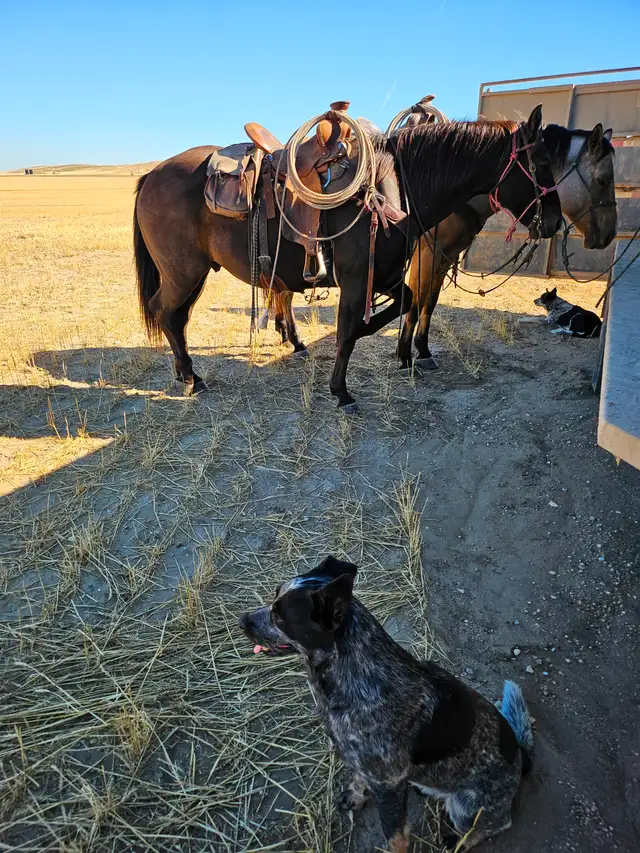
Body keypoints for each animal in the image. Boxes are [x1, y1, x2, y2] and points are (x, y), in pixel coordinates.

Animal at [134, 106, 562, 411]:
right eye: (541, 165)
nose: (555, 222)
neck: (396, 188)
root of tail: (151, 175)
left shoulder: (388, 274)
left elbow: (404, 304)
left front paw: (390, 346)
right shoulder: (358, 279)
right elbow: (347, 333)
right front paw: (341, 392)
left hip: (192, 274)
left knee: (176, 318)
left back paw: (187, 373)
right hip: (184, 272)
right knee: (166, 313)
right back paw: (192, 378)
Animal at [398, 123, 617, 370]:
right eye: (602, 180)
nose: (610, 234)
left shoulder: (445, 256)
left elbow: (430, 303)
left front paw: (423, 351)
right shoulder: (427, 253)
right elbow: (416, 303)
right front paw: (404, 357)